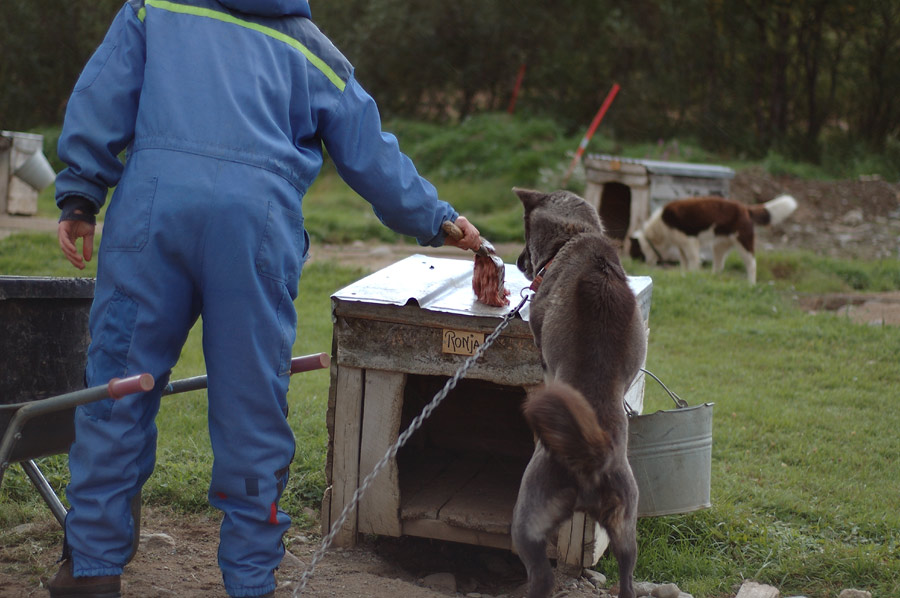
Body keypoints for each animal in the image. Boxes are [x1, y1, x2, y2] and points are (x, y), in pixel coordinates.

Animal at [510, 188, 644, 598]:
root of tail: (591, 458)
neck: (577, 235)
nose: (518, 261)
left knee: (542, 577)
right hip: (625, 527)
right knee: (627, 579)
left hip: (528, 519)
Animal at [628, 195, 800, 284]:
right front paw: (685, 274)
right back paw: (712, 279)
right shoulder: (681, 246)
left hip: (743, 242)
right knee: (719, 265)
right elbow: (684, 262)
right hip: (719, 246)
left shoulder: (690, 241)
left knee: (751, 264)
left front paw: (692, 275)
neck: (660, 227)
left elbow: (692, 261)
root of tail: (745, 208)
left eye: (633, 253)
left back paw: (751, 284)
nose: (639, 265)